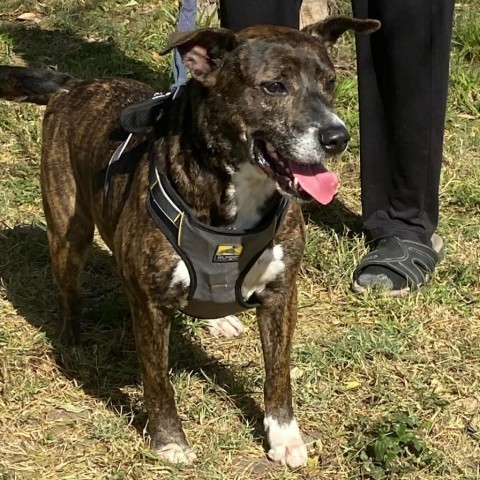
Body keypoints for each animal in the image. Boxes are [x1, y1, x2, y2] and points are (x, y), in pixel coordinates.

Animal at [0, 16, 380, 466]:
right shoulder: (150, 306)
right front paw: (169, 441)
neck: (236, 200)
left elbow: (278, 372)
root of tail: (74, 83)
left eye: (330, 82)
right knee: (69, 291)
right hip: (67, 232)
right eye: (274, 86)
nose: (337, 137)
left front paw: (284, 435)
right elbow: (158, 380)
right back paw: (72, 341)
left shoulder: (281, 294)